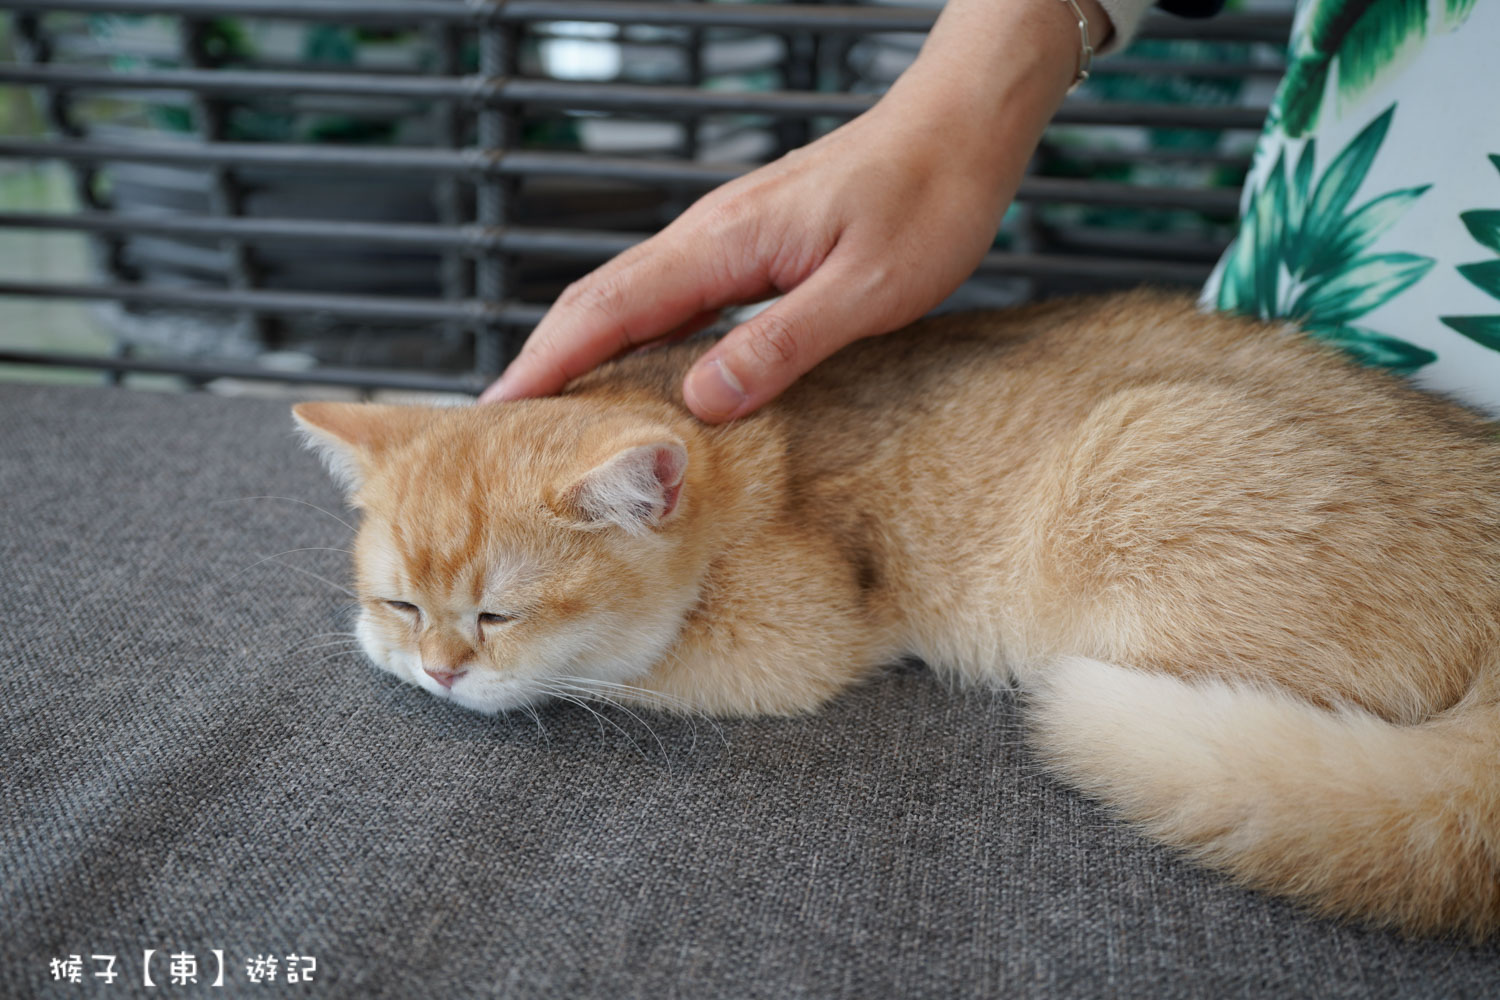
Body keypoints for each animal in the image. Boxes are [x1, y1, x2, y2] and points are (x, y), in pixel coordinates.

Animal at [292, 289, 1500, 941]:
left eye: (500, 615)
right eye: (404, 599)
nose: (442, 667)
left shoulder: (792, 637)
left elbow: (616, 672)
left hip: (1136, 458)